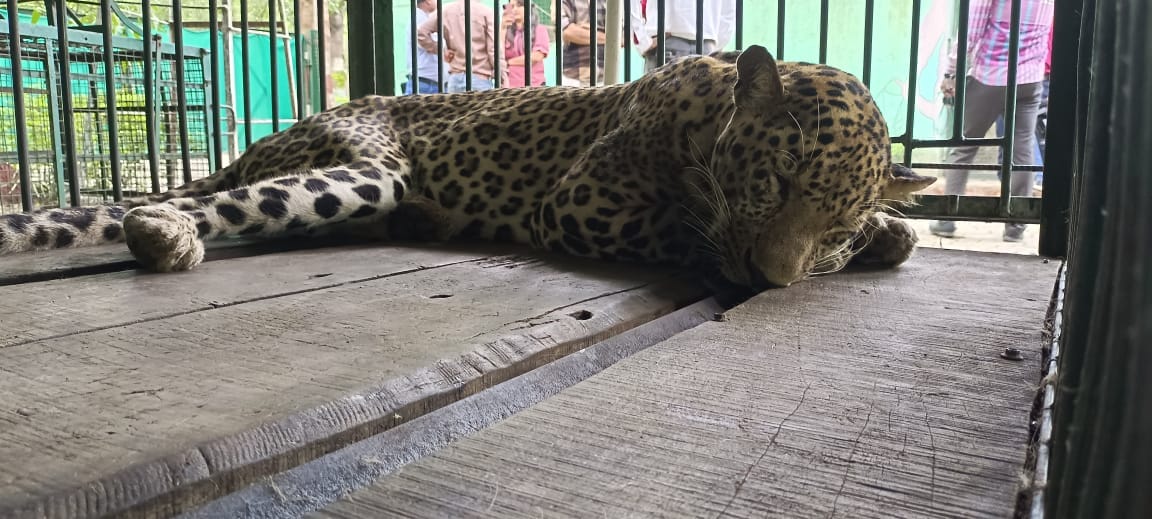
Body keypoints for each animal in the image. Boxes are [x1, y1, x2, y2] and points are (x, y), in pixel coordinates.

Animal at [0, 45, 935, 289]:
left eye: (835, 224)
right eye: (773, 185)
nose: (770, 283)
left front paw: (889, 229)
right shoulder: (583, 201)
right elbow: (686, 229)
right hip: (366, 169)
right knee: (221, 203)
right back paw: (162, 229)